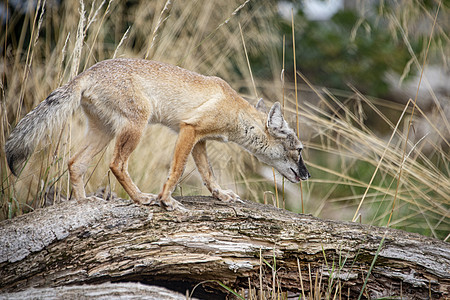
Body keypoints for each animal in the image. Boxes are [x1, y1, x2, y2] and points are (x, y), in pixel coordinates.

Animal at [5, 57, 310, 210]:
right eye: (299, 151)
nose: (307, 175)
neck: (235, 111)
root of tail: (87, 72)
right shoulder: (189, 130)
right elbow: (177, 170)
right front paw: (166, 200)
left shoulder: (199, 141)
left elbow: (208, 175)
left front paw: (221, 195)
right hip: (135, 127)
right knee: (116, 165)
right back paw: (141, 198)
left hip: (104, 133)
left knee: (74, 162)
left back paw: (82, 201)